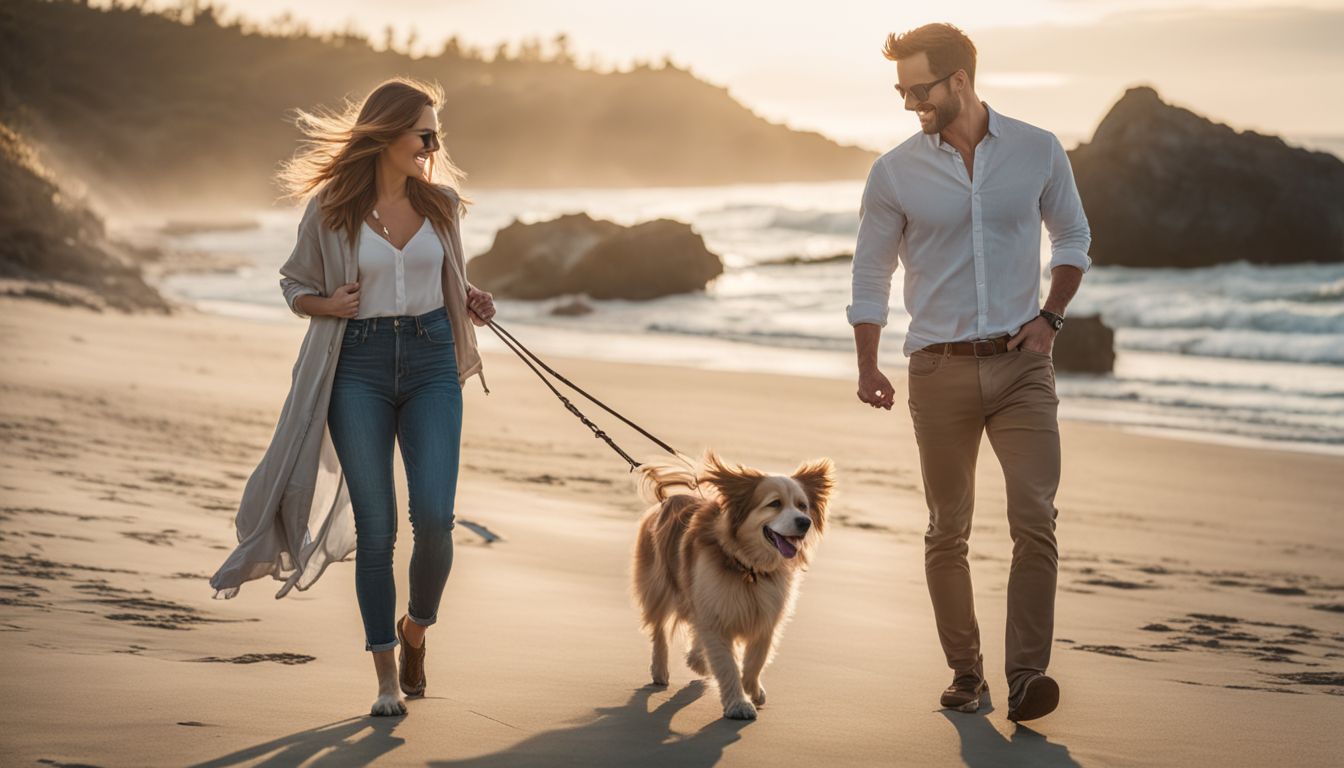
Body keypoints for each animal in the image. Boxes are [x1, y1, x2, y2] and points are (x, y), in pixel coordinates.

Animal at [628, 451, 827, 720]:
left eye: (802, 506)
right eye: (775, 504)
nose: (805, 522)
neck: (748, 567)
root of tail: (669, 499)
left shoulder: (766, 615)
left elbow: (757, 658)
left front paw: (752, 689)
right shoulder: (715, 612)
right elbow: (726, 663)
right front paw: (739, 704)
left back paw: (697, 660)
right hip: (659, 587)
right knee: (659, 630)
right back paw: (660, 670)